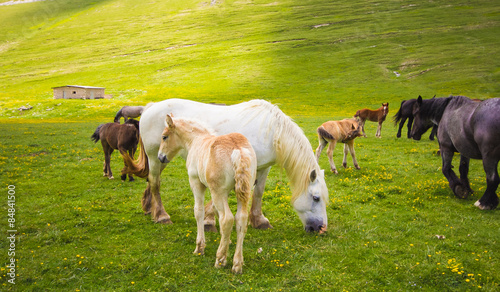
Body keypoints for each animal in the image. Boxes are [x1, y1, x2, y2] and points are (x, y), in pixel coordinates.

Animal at [123, 99, 330, 232]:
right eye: (316, 198)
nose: (321, 228)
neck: (272, 132)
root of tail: (149, 107)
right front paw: (208, 221)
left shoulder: (263, 168)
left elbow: (258, 192)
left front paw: (259, 220)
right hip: (155, 157)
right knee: (155, 182)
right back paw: (161, 216)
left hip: (163, 157)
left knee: (151, 180)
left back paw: (149, 208)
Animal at [157, 114, 258, 274]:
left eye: (164, 137)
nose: (161, 157)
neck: (195, 140)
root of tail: (238, 149)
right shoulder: (226, 192)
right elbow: (215, 211)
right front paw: (227, 241)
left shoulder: (196, 183)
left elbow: (199, 211)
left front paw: (200, 247)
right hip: (244, 191)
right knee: (240, 219)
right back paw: (237, 264)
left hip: (218, 192)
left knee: (227, 219)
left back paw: (220, 259)